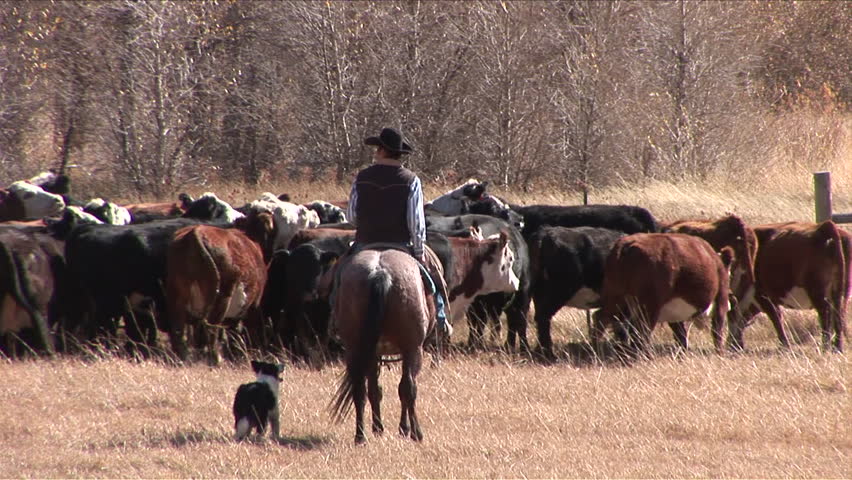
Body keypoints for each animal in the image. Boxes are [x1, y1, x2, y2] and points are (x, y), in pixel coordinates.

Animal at [165, 212, 276, 365]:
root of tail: (195, 234)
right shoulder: (254, 305)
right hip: (222, 298)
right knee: (211, 329)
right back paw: (216, 360)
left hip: (176, 296)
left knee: (179, 330)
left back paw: (184, 358)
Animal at [592, 233, 733, 358]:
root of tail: (626, 246)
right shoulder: (721, 300)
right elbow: (717, 331)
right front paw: (720, 354)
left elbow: (681, 336)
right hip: (648, 307)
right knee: (641, 332)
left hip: (616, 298)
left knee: (600, 318)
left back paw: (597, 351)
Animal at [730, 221, 850, 352]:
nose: (731, 345)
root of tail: (826, 227)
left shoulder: (763, 295)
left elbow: (775, 317)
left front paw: (784, 345)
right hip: (841, 293)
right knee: (838, 314)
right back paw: (837, 347)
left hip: (817, 292)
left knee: (825, 313)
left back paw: (825, 346)